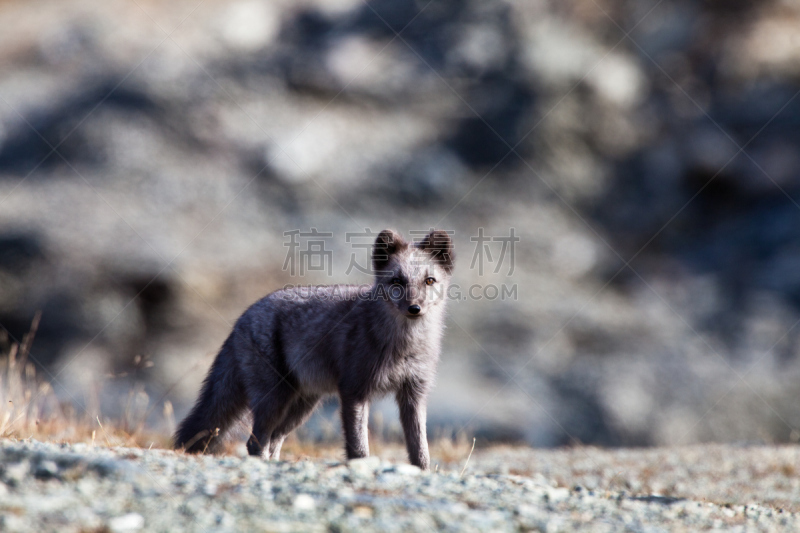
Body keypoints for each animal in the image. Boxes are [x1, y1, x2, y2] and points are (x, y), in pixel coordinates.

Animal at [172, 227, 454, 468]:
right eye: (397, 281)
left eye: (430, 280)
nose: (414, 308)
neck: (405, 347)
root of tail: (243, 316)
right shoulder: (354, 391)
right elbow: (358, 448)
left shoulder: (414, 394)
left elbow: (420, 449)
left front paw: (423, 472)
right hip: (274, 399)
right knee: (255, 443)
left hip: (301, 406)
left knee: (273, 441)